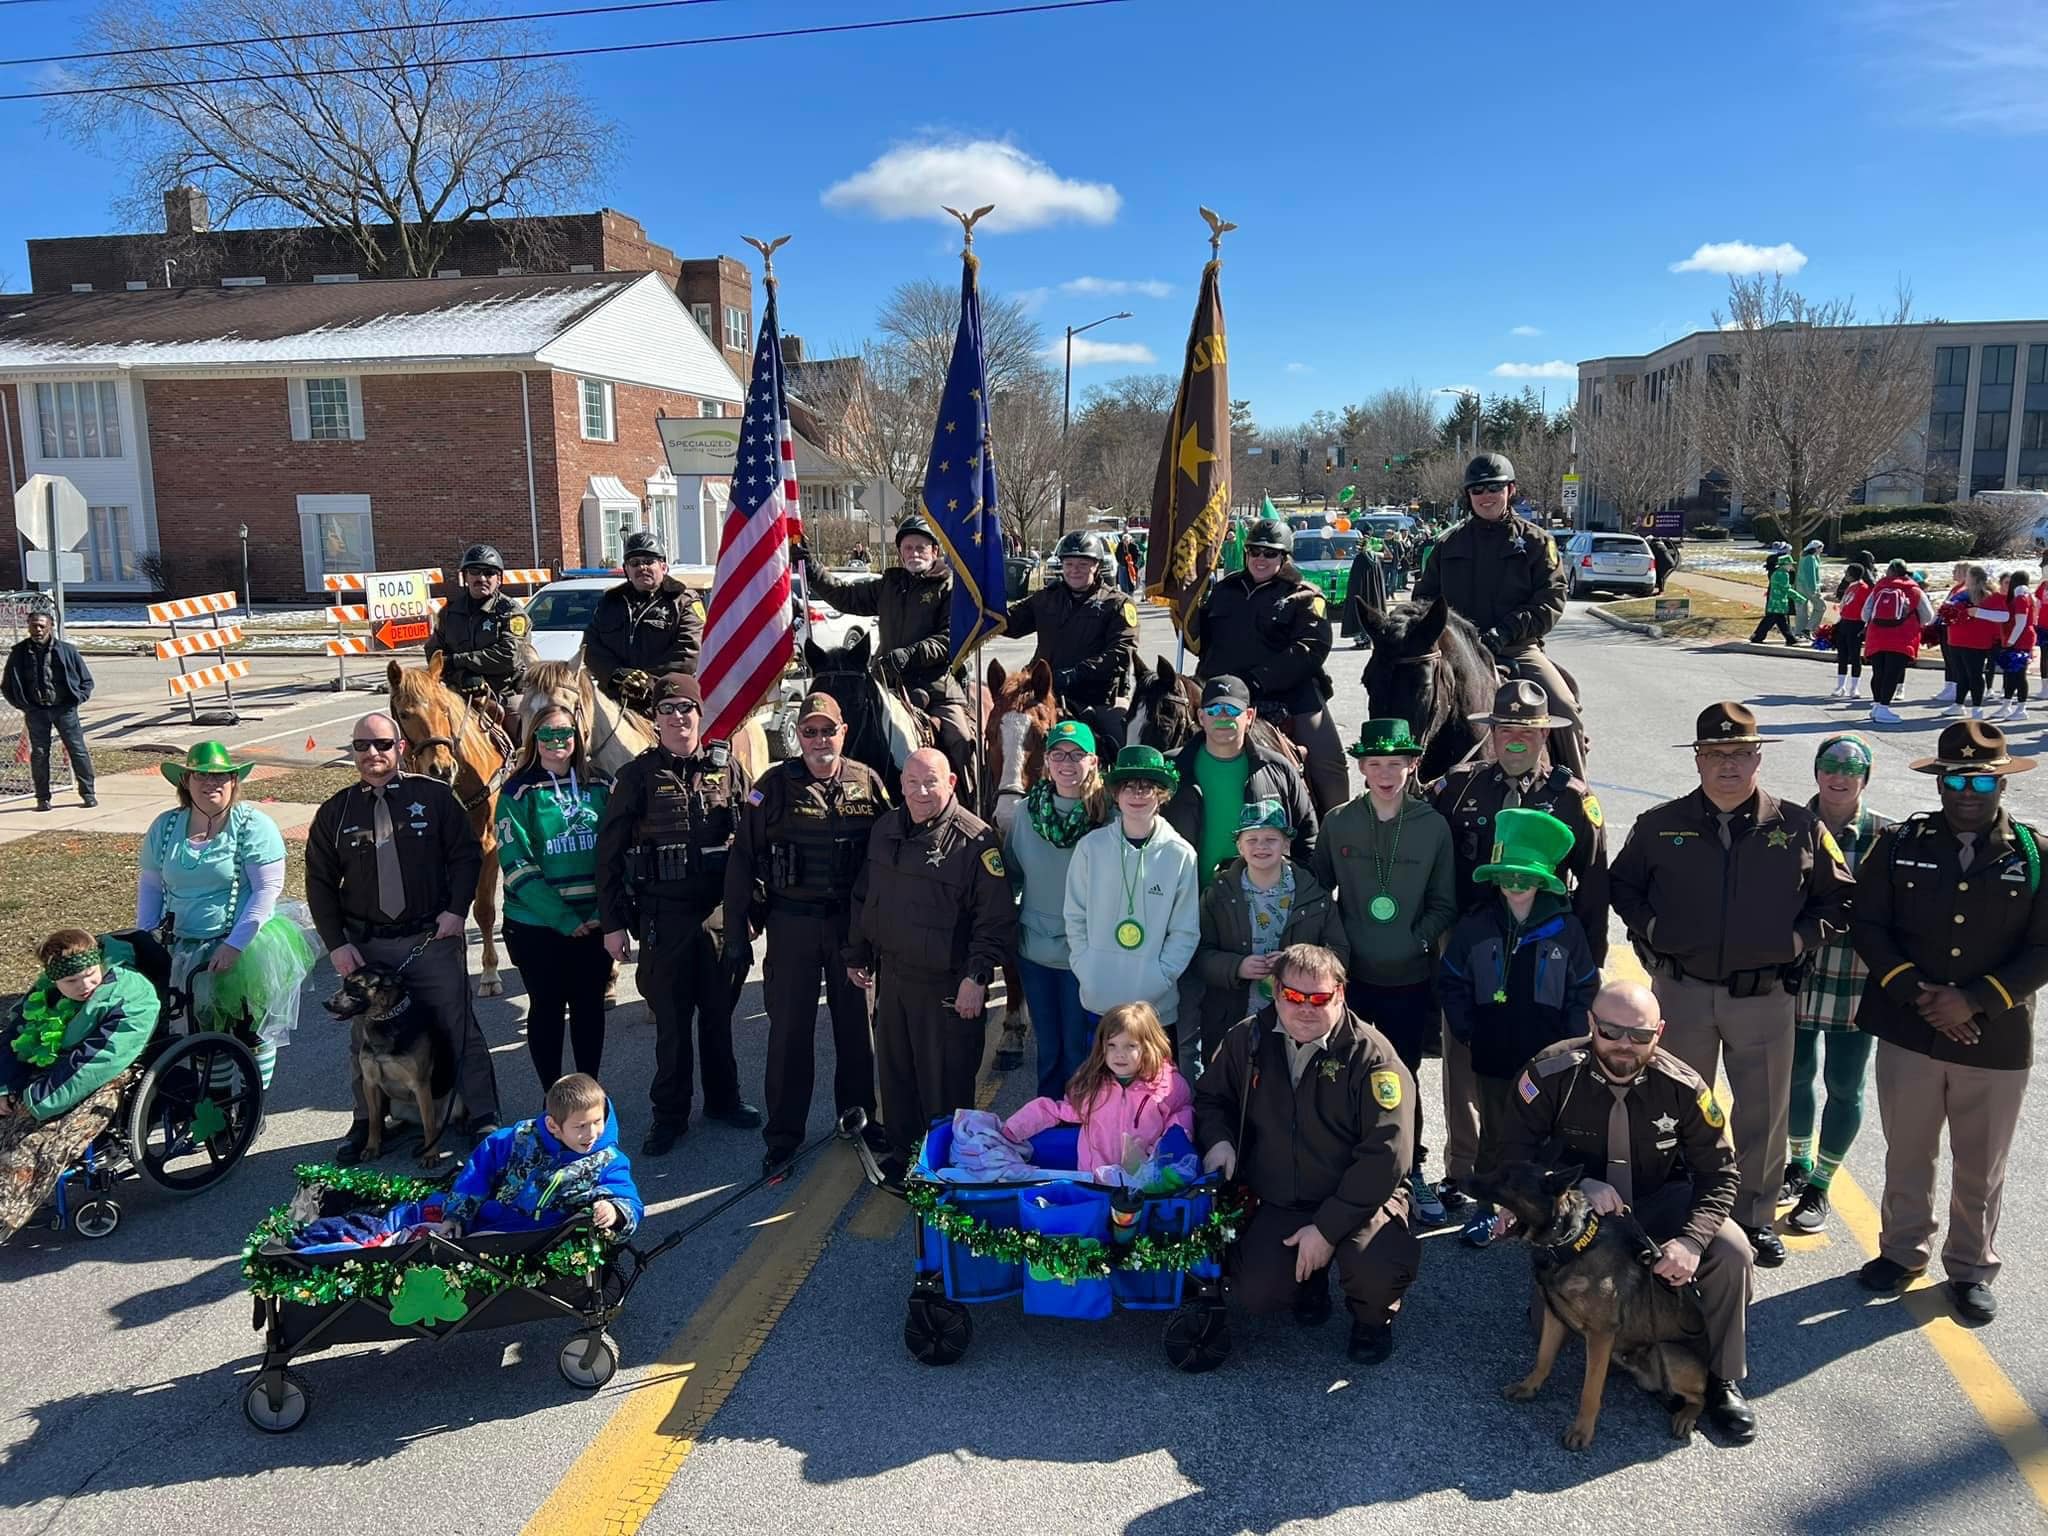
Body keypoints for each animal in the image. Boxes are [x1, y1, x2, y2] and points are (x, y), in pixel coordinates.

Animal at [323, 966, 464, 1171]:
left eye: (356, 986)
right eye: (344, 983)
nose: (325, 1003)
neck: (383, 1019)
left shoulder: (420, 1085)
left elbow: (428, 1125)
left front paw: (430, 1154)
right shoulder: (370, 1083)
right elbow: (374, 1120)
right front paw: (372, 1147)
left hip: (456, 1099)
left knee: (434, 1122)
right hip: (394, 1103)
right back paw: (395, 1130)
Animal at [387, 651, 512, 999]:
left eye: (443, 708)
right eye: (404, 713)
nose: (442, 768)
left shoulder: (487, 844)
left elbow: (483, 909)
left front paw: (489, 973)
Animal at [1474, 1163, 1712, 1458]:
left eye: (1507, 1180)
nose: (1465, 1180)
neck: (1570, 1243)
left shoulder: (1600, 1334)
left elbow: (1589, 1391)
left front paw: (1582, 1431)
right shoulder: (1554, 1317)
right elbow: (1543, 1358)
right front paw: (1529, 1387)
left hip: (1667, 1352)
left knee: (1701, 1396)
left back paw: (1687, 1415)